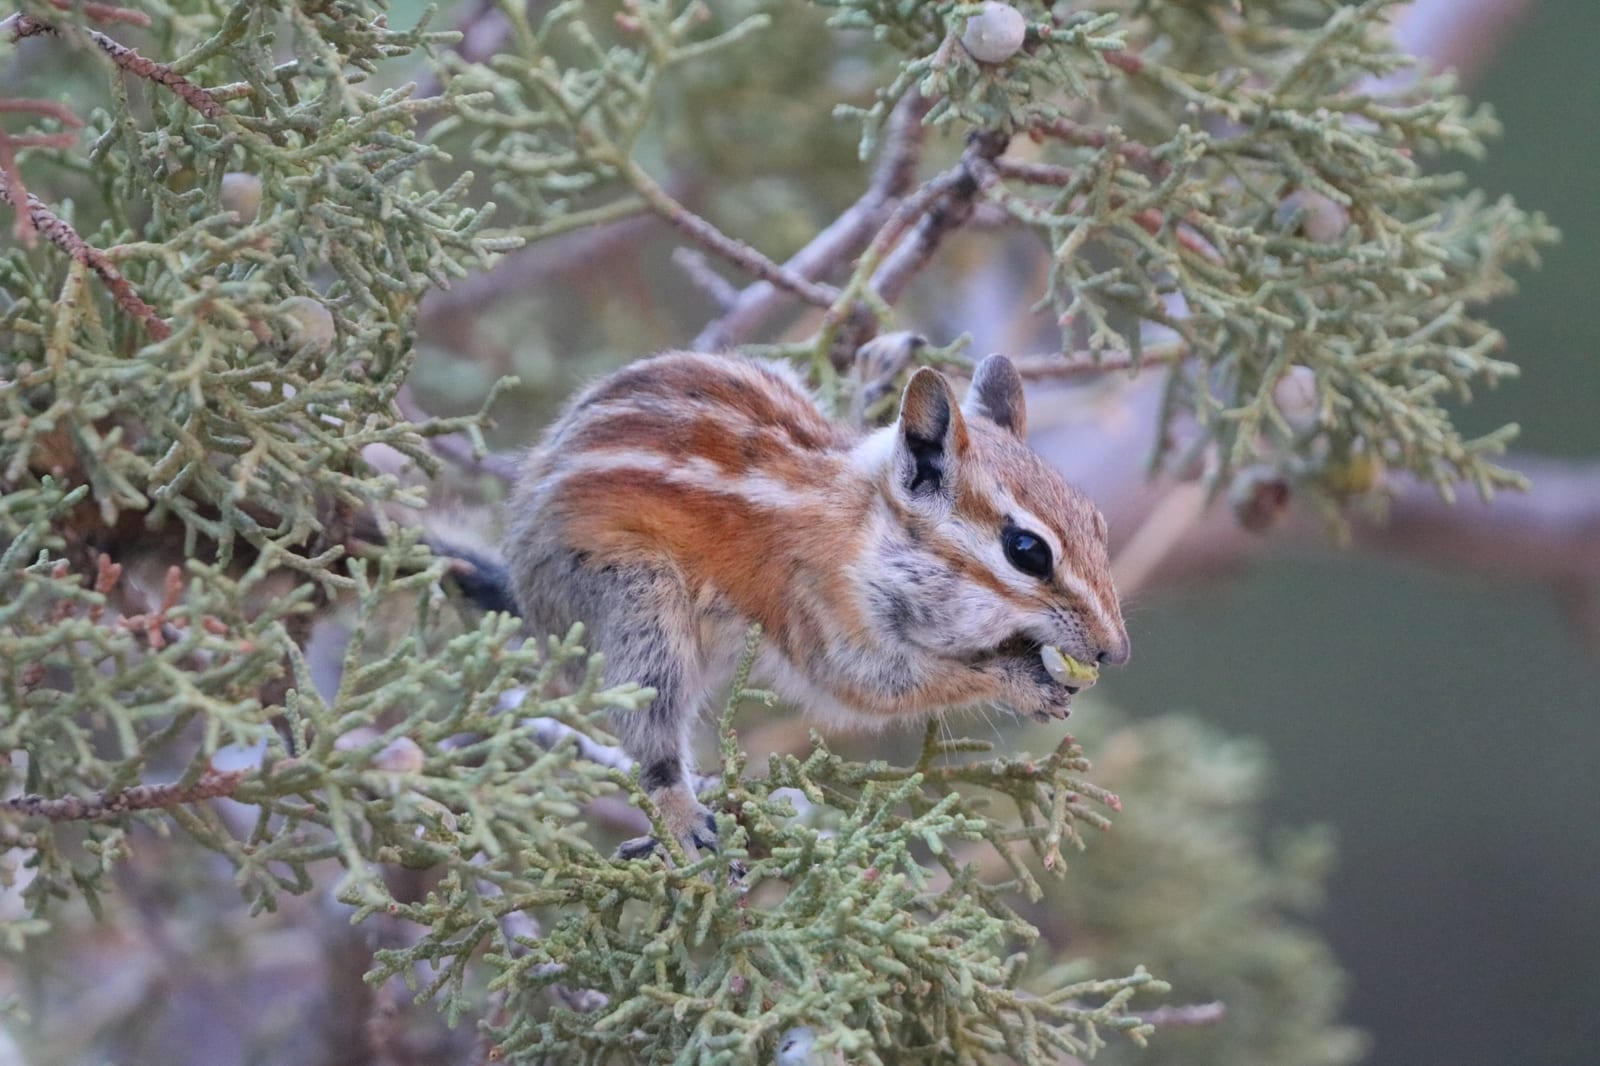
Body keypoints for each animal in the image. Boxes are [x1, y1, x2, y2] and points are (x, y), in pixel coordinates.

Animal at [492, 348, 1130, 857]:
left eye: (1099, 523)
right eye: (1027, 551)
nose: (1115, 652)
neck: (859, 526)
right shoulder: (820, 615)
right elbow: (875, 686)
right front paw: (1020, 679)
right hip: (637, 600)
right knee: (651, 721)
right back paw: (679, 812)